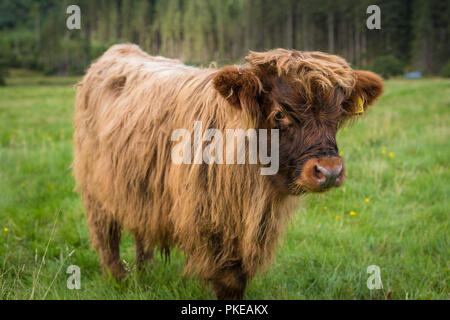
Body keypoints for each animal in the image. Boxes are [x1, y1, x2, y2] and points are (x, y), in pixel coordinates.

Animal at [74, 43, 384, 298]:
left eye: (338, 114)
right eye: (279, 113)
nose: (329, 171)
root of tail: (118, 50)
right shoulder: (210, 222)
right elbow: (229, 280)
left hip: (139, 189)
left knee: (141, 230)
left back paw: (144, 273)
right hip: (96, 190)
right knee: (107, 237)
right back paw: (119, 280)